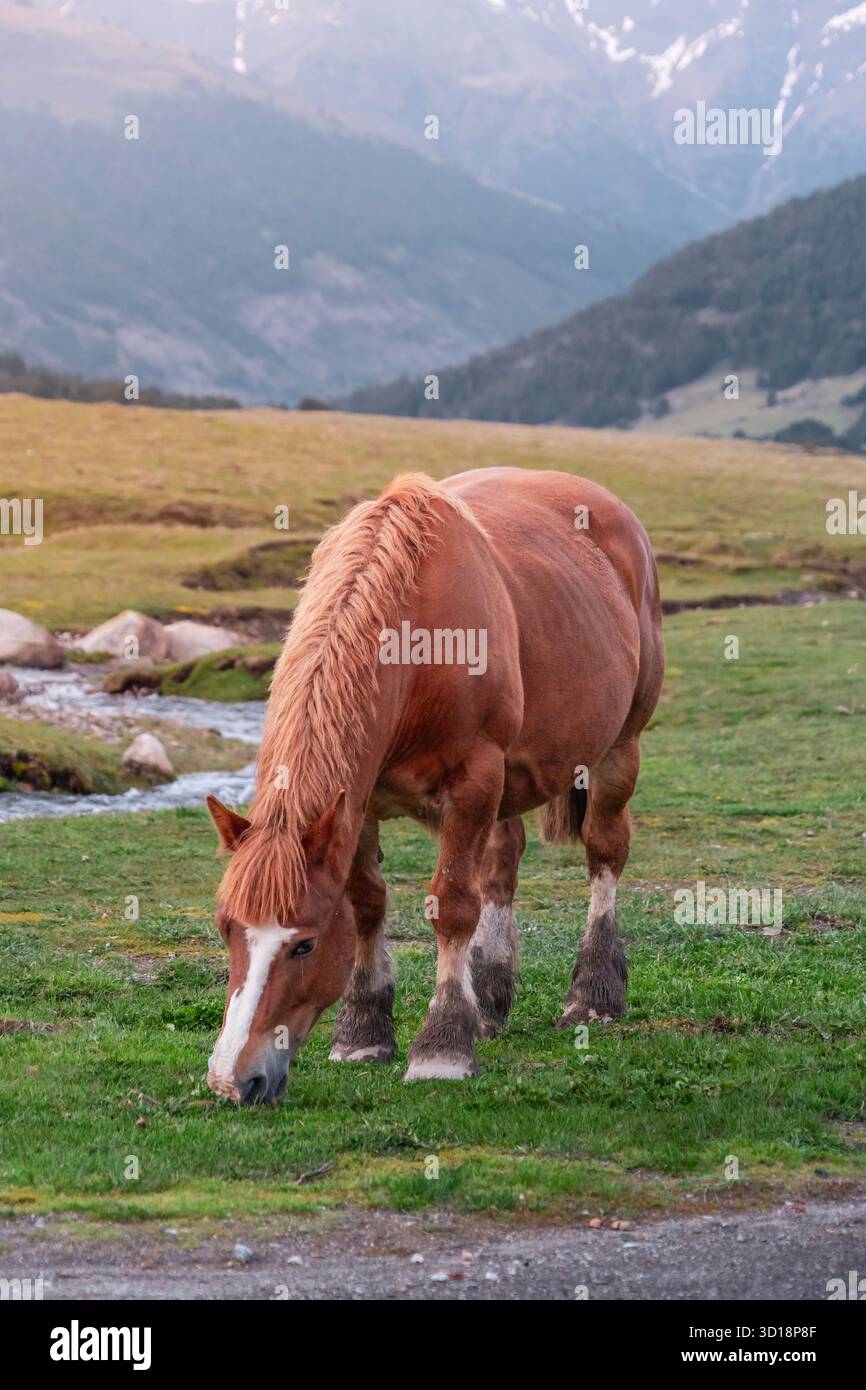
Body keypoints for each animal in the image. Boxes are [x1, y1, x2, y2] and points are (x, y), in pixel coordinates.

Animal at [205, 466, 664, 1103]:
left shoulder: (475, 778)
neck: (415, 645)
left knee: (604, 851)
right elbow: (368, 903)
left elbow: (451, 907)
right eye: (227, 929)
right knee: (502, 866)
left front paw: (443, 1045)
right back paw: (489, 999)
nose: (234, 1079)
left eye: (304, 944)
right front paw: (363, 1032)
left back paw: (593, 994)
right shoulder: (358, 798)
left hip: (618, 749)